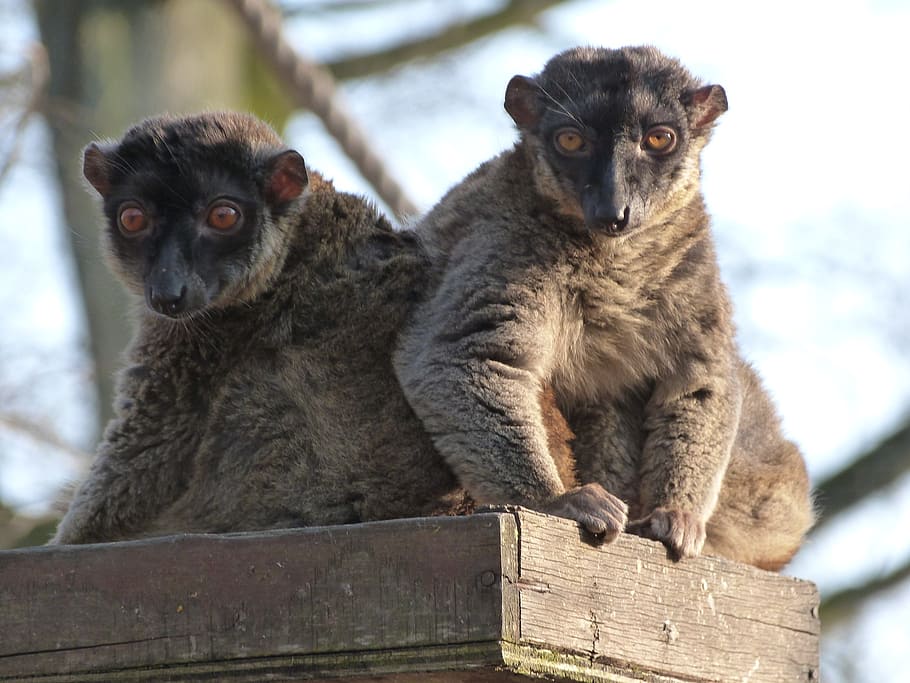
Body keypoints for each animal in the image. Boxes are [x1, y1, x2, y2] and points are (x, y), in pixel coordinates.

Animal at [51, 111, 621, 545]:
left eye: (223, 217)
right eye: (133, 220)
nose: (168, 288)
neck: (292, 243)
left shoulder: (200, 337)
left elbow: (141, 458)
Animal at [395, 46, 814, 570]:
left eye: (659, 139)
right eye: (571, 140)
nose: (614, 210)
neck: (613, 256)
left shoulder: (692, 260)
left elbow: (704, 378)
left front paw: (674, 515)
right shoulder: (501, 239)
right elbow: (459, 356)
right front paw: (557, 502)